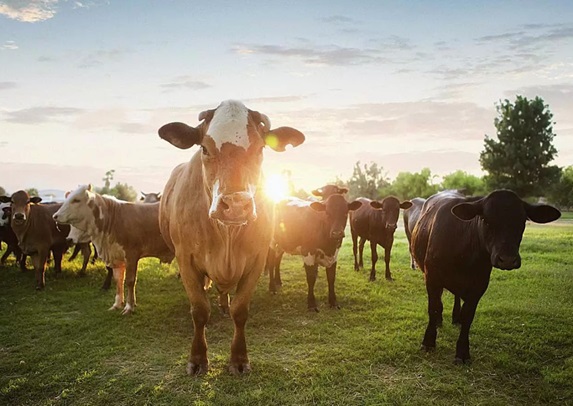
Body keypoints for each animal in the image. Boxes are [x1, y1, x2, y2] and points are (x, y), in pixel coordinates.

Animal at [53, 185, 174, 314]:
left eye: (76, 200)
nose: (55, 216)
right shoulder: (116, 257)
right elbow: (118, 280)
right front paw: (117, 304)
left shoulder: (131, 255)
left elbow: (130, 281)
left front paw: (129, 306)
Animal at [156, 100, 304, 376]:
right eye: (204, 148)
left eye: (260, 148)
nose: (235, 205)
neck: (226, 237)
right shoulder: (185, 259)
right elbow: (199, 310)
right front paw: (197, 358)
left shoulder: (257, 259)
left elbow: (240, 310)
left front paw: (239, 358)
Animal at [412, 189, 560, 364]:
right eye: (486, 220)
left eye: (522, 221)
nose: (507, 259)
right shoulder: (432, 277)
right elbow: (434, 308)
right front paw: (428, 341)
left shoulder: (479, 285)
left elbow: (468, 316)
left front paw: (462, 351)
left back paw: (456, 318)